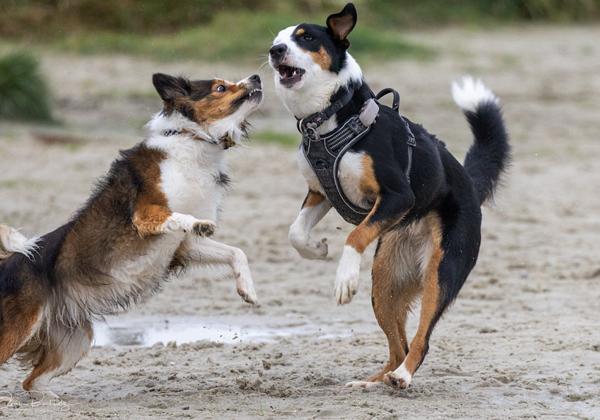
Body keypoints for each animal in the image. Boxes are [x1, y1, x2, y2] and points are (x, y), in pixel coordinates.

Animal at [0, 71, 262, 394]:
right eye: (220, 87)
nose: (257, 76)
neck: (192, 139)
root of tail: (6, 264)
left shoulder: (184, 246)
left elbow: (236, 252)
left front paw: (247, 289)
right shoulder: (146, 215)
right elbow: (179, 217)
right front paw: (197, 222)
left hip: (74, 341)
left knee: (31, 382)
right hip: (18, 328)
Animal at [270, 4, 508, 390]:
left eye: (305, 37)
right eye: (277, 39)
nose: (275, 51)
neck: (331, 122)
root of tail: (470, 186)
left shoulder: (398, 196)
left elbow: (354, 236)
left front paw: (344, 278)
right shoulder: (320, 192)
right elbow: (295, 232)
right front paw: (316, 249)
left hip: (442, 271)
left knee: (421, 341)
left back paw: (402, 377)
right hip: (386, 283)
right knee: (400, 345)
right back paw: (372, 382)